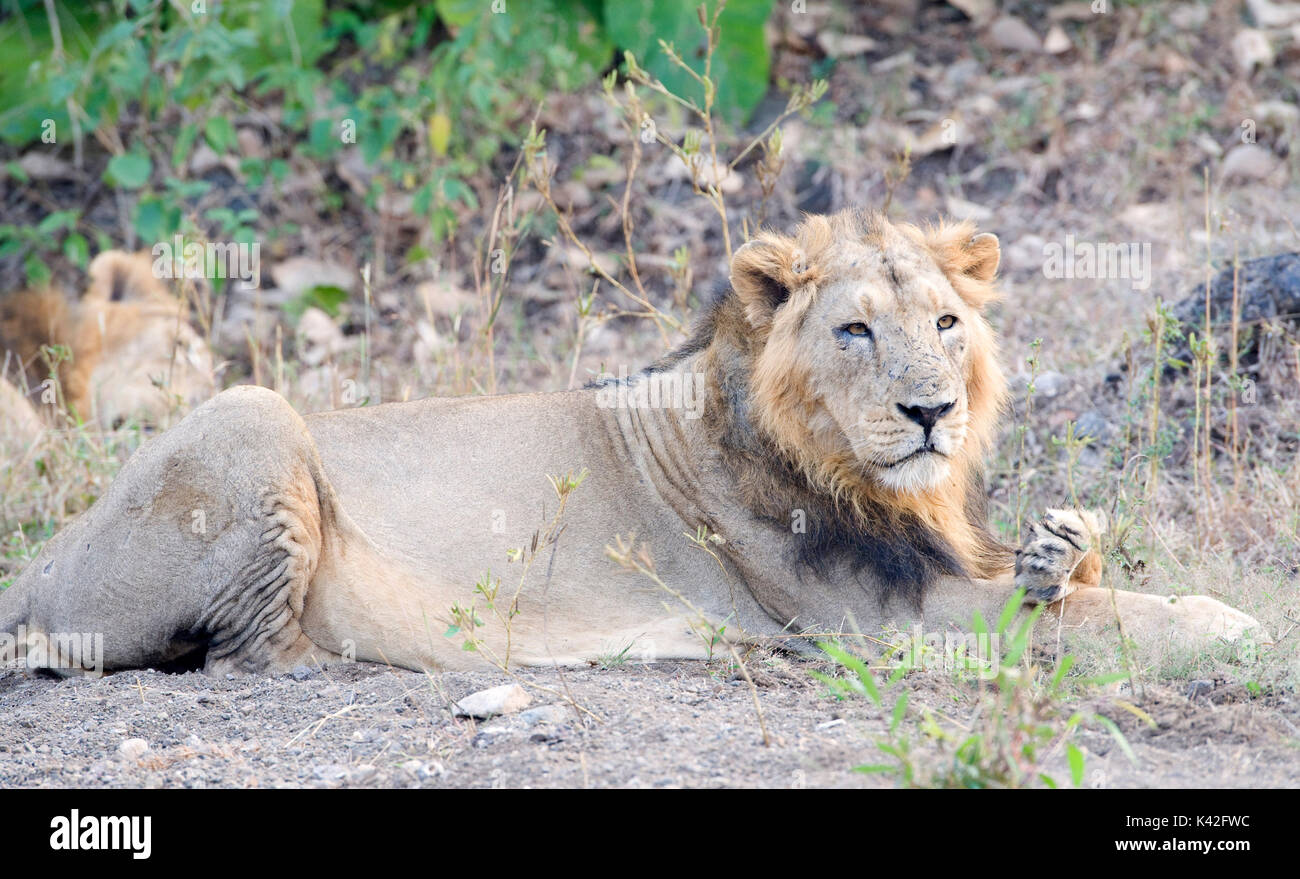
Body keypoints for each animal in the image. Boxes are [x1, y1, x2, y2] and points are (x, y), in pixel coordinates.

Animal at [0, 211, 1262, 676]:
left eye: (947, 324)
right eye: (854, 330)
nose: (928, 413)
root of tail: (37, 569)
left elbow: (1077, 577)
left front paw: (1077, 546)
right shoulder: (893, 622)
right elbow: (1104, 618)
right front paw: (1232, 625)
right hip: (252, 414)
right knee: (246, 651)